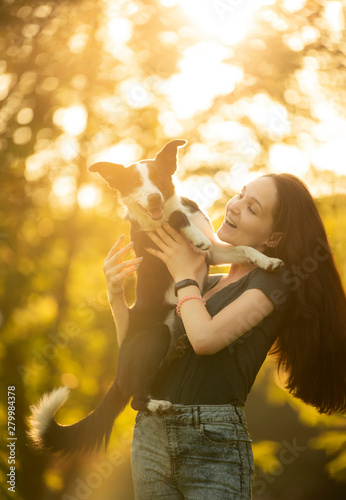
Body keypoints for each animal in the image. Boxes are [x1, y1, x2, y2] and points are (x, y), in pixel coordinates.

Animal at [28, 139, 282, 456]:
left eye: (159, 177)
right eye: (135, 183)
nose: (153, 198)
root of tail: (119, 370)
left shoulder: (214, 253)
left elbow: (244, 249)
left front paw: (267, 261)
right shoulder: (154, 234)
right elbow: (177, 219)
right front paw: (193, 233)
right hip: (155, 335)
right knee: (136, 399)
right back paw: (156, 404)